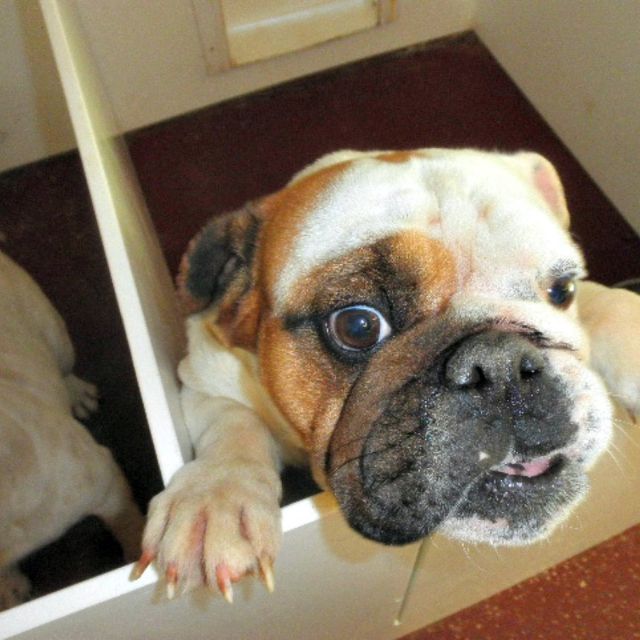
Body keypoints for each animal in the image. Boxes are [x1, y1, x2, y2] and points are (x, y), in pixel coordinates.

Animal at [0, 250, 142, 608]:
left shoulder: (105, 487)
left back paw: (77, 394)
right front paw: (10, 585)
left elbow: (128, 524)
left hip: (54, 336)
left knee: (63, 366)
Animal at [135, 149, 640, 600]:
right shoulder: (204, 381)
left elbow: (602, 301)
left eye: (562, 289)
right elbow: (233, 427)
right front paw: (215, 497)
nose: (502, 363)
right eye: (357, 326)